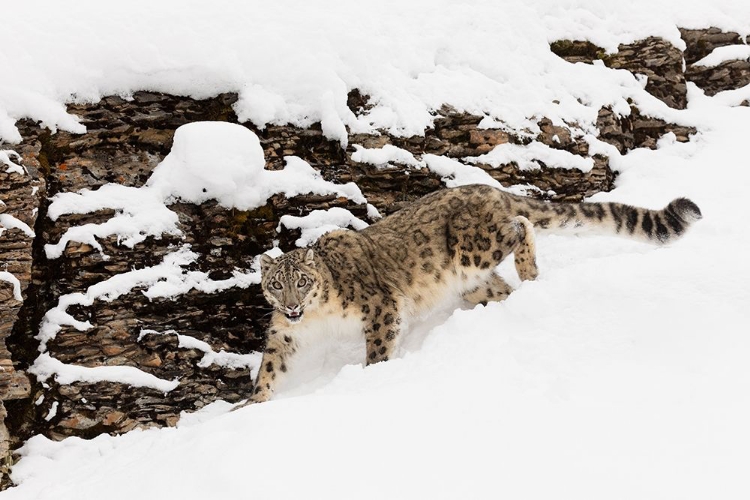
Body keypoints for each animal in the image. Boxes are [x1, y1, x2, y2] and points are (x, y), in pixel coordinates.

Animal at [238, 184, 704, 406]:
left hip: (473, 245)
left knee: (521, 226)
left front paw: (372, 376)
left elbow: (378, 347)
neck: (317, 317)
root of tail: (490, 187)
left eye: (303, 281)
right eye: (277, 285)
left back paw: (529, 267)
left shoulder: (380, 308)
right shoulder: (285, 333)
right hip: (473, 280)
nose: (292, 305)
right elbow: (271, 365)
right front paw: (252, 403)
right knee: (501, 286)